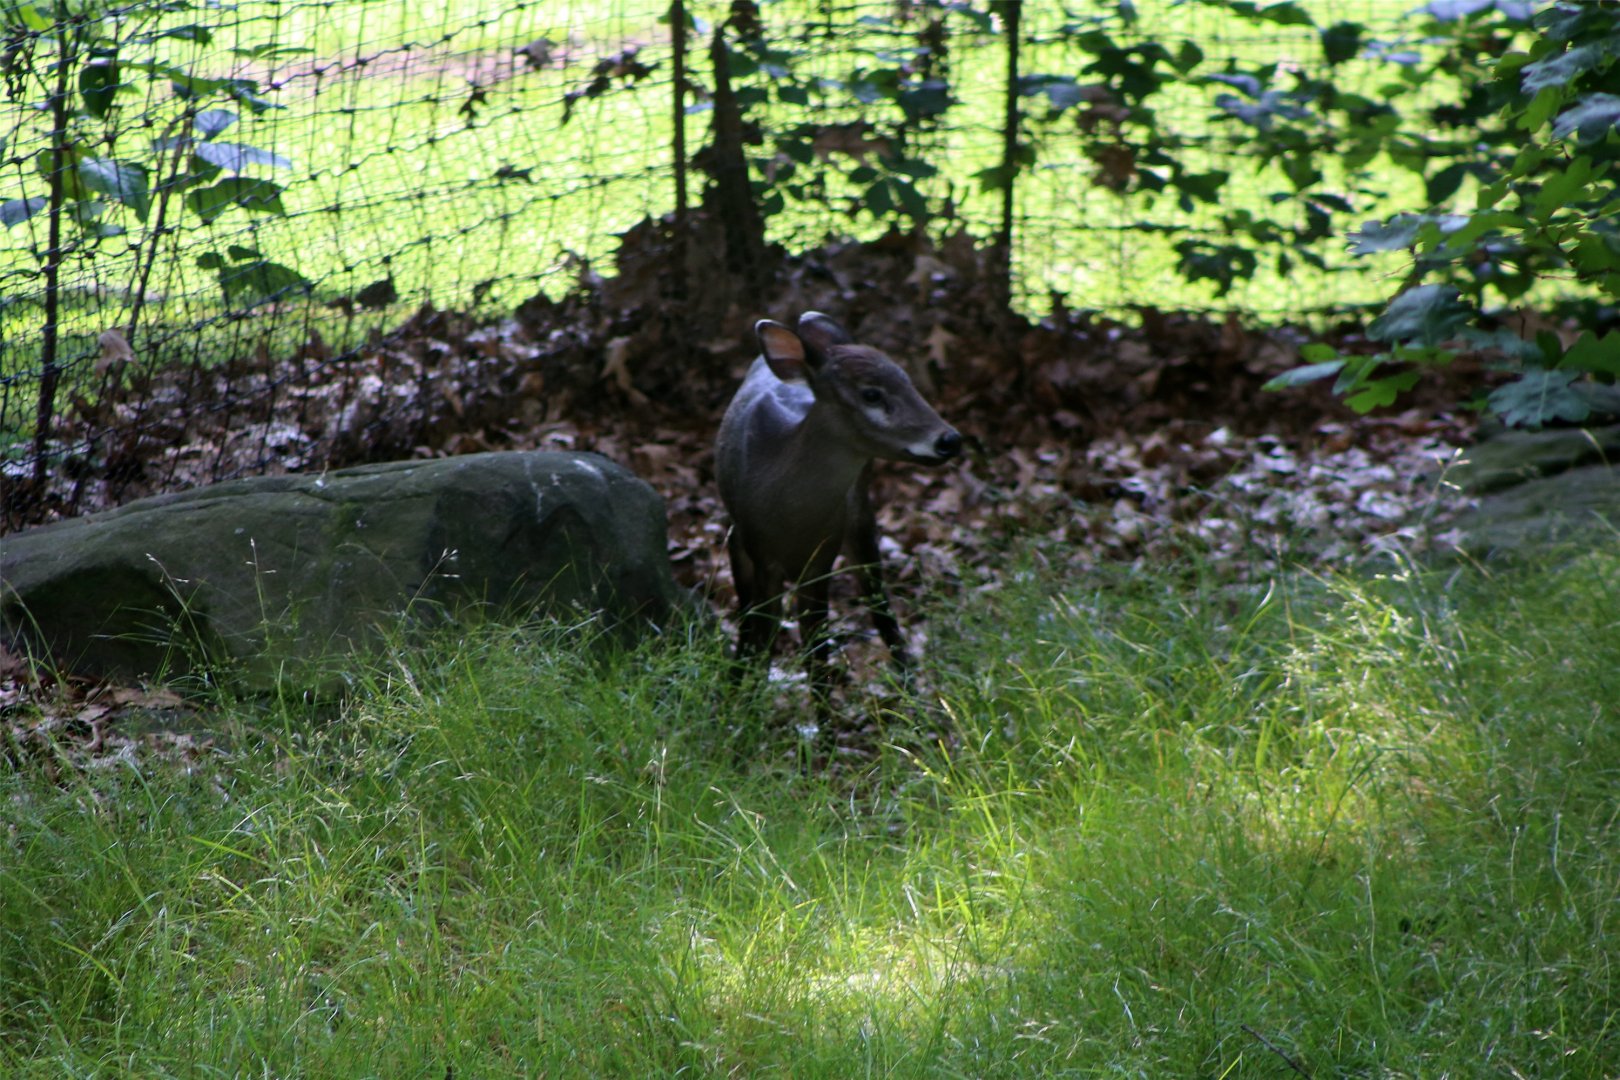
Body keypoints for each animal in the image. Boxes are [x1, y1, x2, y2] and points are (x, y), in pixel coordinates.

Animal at [715, 311, 962, 700]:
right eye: (871, 394)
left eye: (908, 381)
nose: (950, 440)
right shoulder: (758, 549)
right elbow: (764, 631)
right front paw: (745, 704)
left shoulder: (822, 556)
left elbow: (816, 652)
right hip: (738, 538)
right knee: (748, 616)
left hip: (860, 516)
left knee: (880, 609)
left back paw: (914, 692)